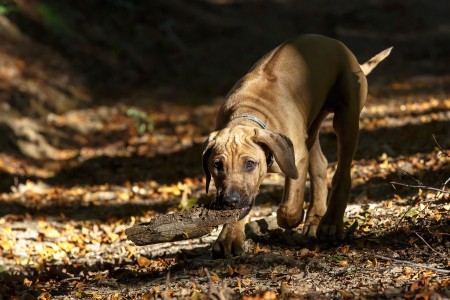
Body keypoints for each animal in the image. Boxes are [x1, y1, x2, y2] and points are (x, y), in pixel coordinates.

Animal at [202, 33, 392, 258]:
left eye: (249, 163)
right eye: (217, 165)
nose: (229, 200)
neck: (250, 111)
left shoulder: (296, 156)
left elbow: (289, 206)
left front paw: (291, 219)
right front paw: (230, 237)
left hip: (346, 118)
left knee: (342, 173)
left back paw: (330, 222)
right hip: (311, 124)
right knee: (320, 164)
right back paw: (315, 216)